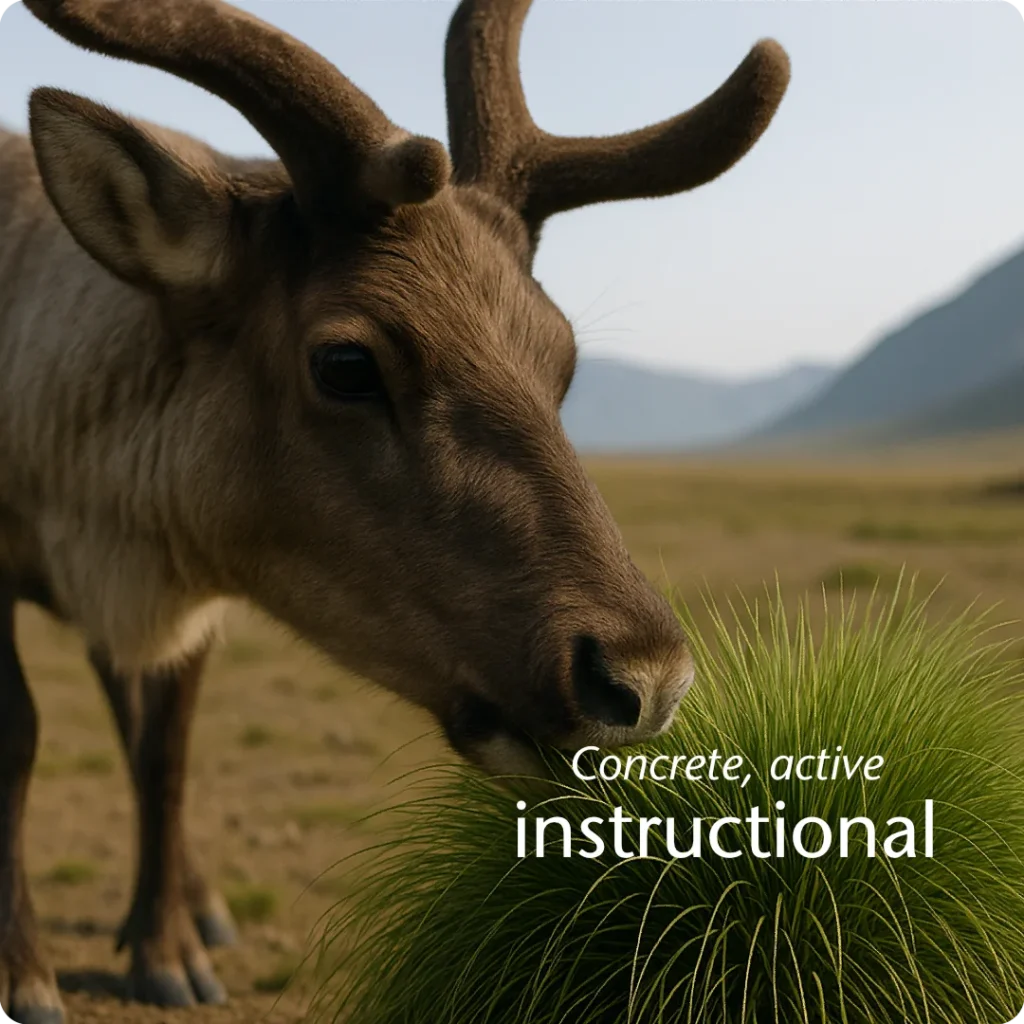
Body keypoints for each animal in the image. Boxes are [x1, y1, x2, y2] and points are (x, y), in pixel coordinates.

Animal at [0, 0, 789, 1019]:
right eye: (346, 362)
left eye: (562, 358)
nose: (645, 680)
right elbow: (22, 734)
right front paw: (25, 970)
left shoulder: (192, 574)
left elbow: (166, 743)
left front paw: (167, 946)